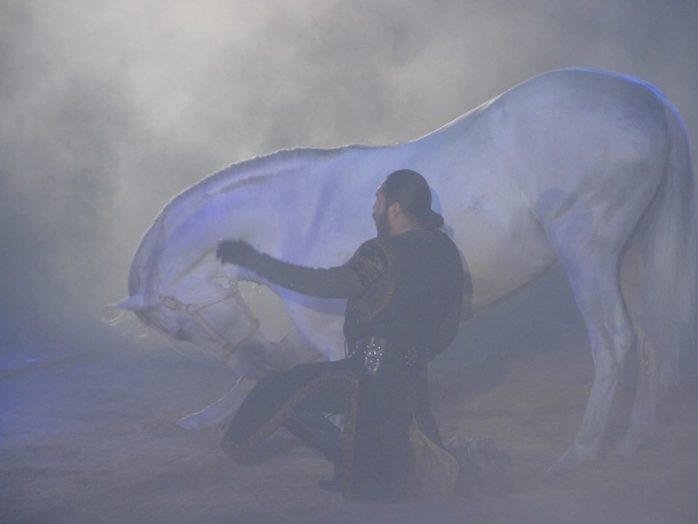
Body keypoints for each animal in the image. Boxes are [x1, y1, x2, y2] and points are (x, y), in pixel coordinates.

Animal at [113, 68, 696, 472]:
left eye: (178, 327)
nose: (252, 359)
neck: (294, 212)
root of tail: (646, 97)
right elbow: (277, 373)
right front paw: (204, 418)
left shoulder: (334, 332)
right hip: (635, 250)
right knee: (652, 335)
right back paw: (636, 437)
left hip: (587, 252)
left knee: (614, 340)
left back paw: (582, 452)